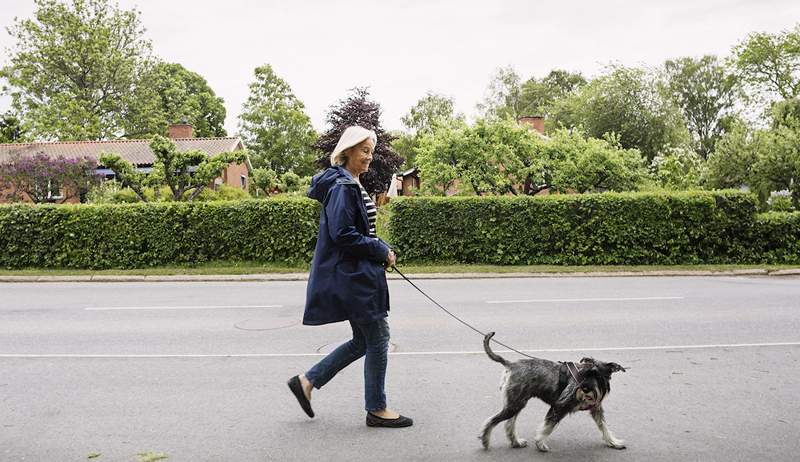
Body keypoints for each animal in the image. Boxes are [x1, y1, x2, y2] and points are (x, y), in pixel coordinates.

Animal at [478, 330, 628, 452]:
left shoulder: (596, 409)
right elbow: (547, 427)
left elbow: (604, 427)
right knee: (492, 420)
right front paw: (540, 443)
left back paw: (516, 442)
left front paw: (614, 442)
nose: (585, 388)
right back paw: (485, 440)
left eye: (598, 376)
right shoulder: (559, 406)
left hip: (517, 403)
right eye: (585, 373)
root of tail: (511, 364)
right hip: (514, 405)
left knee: (509, 423)